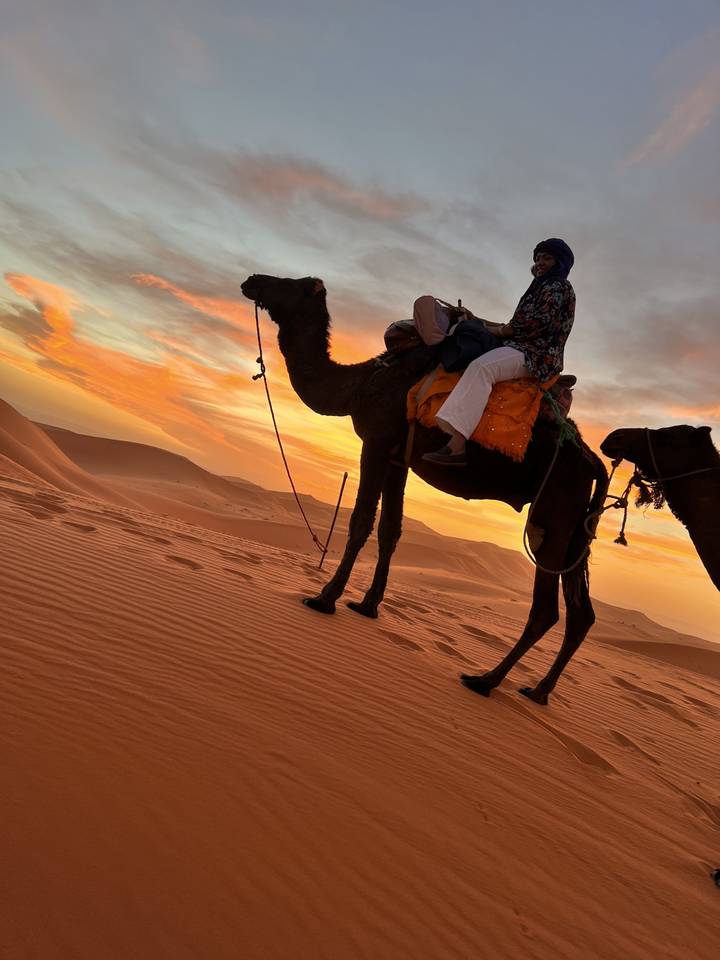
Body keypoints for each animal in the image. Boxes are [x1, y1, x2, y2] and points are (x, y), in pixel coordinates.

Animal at [241, 275, 609, 704]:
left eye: (289, 283)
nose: (251, 281)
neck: (360, 383)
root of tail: (593, 460)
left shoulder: (377, 441)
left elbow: (361, 521)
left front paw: (324, 598)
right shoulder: (399, 458)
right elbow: (391, 529)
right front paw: (366, 605)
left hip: (554, 508)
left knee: (547, 608)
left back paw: (484, 680)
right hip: (576, 526)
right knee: (581, 612)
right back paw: (537, 691)